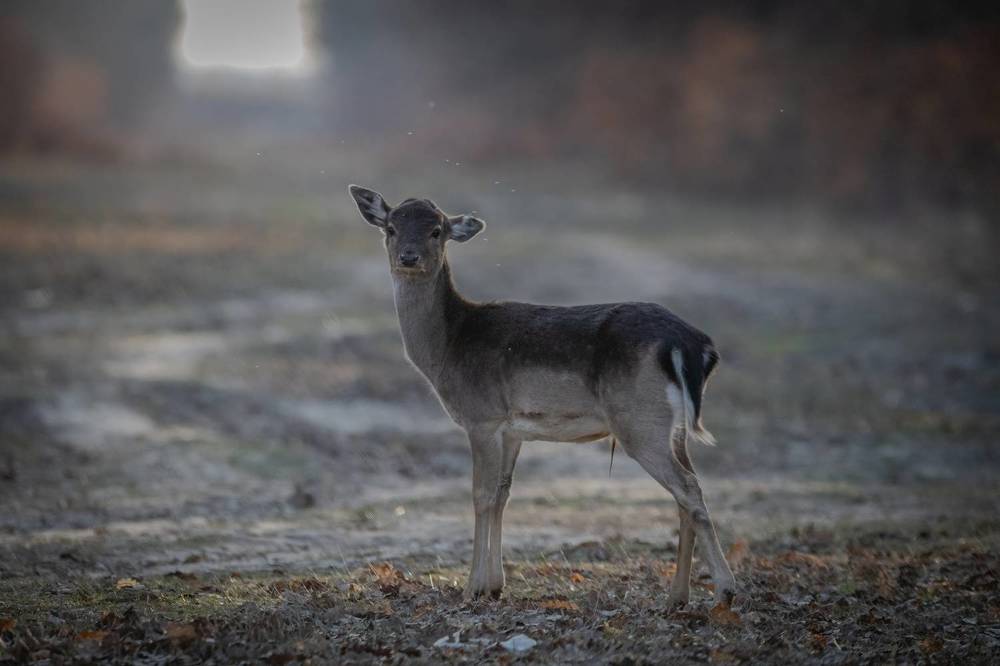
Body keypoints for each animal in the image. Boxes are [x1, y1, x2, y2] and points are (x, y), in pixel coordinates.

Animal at [348, 185, 737, 607]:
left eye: (436, 231)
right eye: (390, 228)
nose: (408, 257)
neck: (447, 349)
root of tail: (692, 345)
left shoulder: (482, 417)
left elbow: (481, 494)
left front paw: (472, 588)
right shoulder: (512, 430)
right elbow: (503, 493)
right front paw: (495, 585)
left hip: (639, 419)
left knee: (688, 486)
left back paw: (726, 589)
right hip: (673, 425)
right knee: (687, 490)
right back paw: (676, 597)